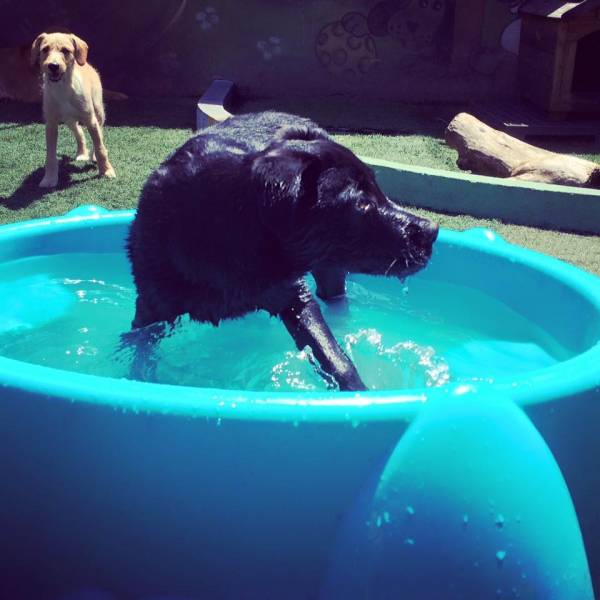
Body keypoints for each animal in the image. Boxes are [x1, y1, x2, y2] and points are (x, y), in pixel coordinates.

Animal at [31, 32, 116, 188]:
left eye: (65, 50)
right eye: (45, 49)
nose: (53, 66)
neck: (63, 88)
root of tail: (87, 64)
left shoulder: (90, 120)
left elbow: (100, 147)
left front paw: (107, 171)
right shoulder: (51, 124)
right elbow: (50, 155)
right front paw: (49, 179)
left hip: (98, 112)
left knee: (100, 133)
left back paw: (93, 155)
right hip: (69, 120)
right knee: (79, 132)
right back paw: (82, 153)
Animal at [126, 112, 436, 392]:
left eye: (378, 190)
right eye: (362, 205)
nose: (432, 231)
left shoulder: (295, 298)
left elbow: (335, 358)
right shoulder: (149, 307)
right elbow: (137, 350)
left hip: (330, 271)